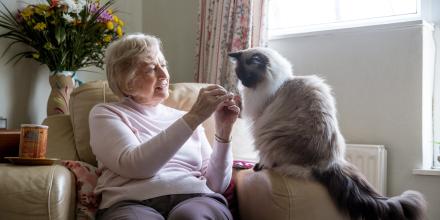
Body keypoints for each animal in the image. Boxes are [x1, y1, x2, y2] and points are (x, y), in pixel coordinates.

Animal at [230, 47, 426, 220]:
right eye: (239, 75)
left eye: (247, 76)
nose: (242, 84)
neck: (281, 82)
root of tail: (329, 164)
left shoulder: (259, 120)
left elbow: (262, 157)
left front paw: (258, 164)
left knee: (272, 160)